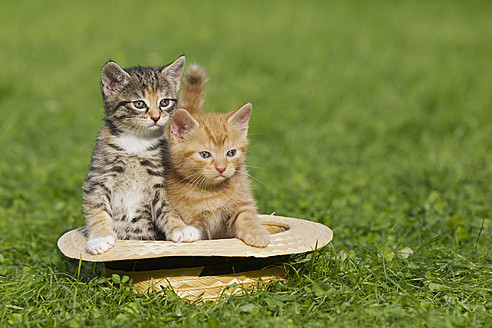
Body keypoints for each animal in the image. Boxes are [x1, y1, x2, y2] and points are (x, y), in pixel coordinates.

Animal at [83, 55, 185, 255]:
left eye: (164, 102)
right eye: (139, 104)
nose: (156, 117)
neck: (136, 141)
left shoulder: (159, 180)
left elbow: (168, 206)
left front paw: (181, 229)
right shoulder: (99, 177)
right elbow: (96, 206)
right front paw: (99, 238)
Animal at [161, 65, 270, 247]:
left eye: (231, 153)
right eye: (205, 154)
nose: (221, 168)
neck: (213, 192)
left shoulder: (241, 204)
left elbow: (247, 216)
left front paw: (257, 234)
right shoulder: (191, 218)